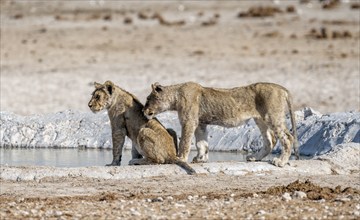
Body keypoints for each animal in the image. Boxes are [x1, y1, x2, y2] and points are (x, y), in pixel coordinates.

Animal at [143, 81, 298, 168]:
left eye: (148, 99)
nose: (144, 111)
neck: (175, 96)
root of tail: (282, 88)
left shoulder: (189, 121)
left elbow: (185, 142)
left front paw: (181, 158)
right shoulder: (200, 123)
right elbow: (201, 143)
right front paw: (200, 159)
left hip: (273, 116)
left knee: (288, 138)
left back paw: (281, 162)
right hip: (260, 120)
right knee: (270, 140)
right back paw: (255, 157)